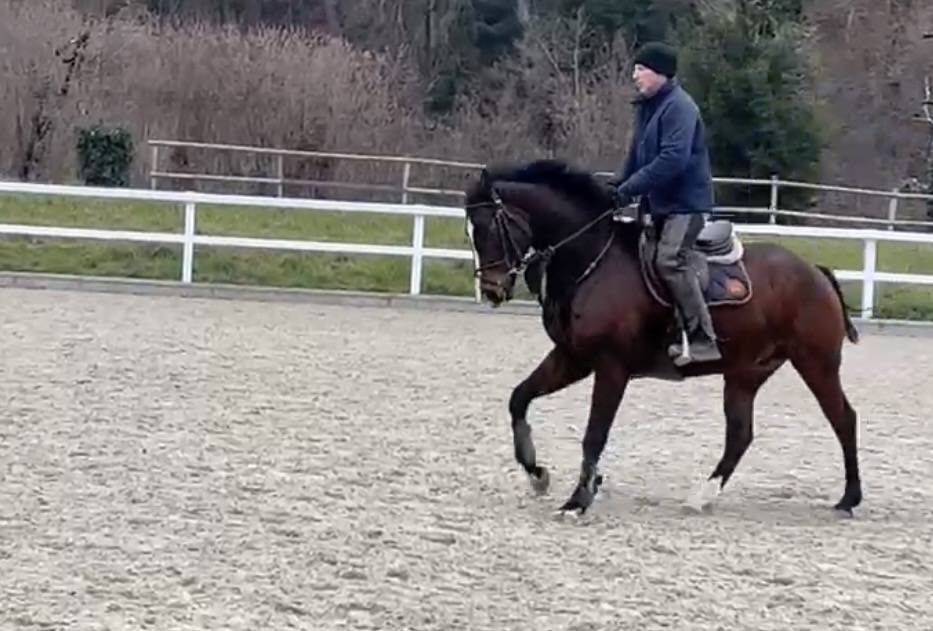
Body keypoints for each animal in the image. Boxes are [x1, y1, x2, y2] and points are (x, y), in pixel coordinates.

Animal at [462, 159, 863, 517]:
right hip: (745, 373)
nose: (492, 289)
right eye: (471, 232)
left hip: (816, 363)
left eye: (489, 227)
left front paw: (578, 500)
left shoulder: (611, 368)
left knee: (843, 418)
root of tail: (815, 272)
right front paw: (538, 474)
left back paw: (849, 498)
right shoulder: (571, 358)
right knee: (740, 435)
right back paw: (703, 495)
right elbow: (519, 399)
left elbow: (594, 434)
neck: (591, 259)